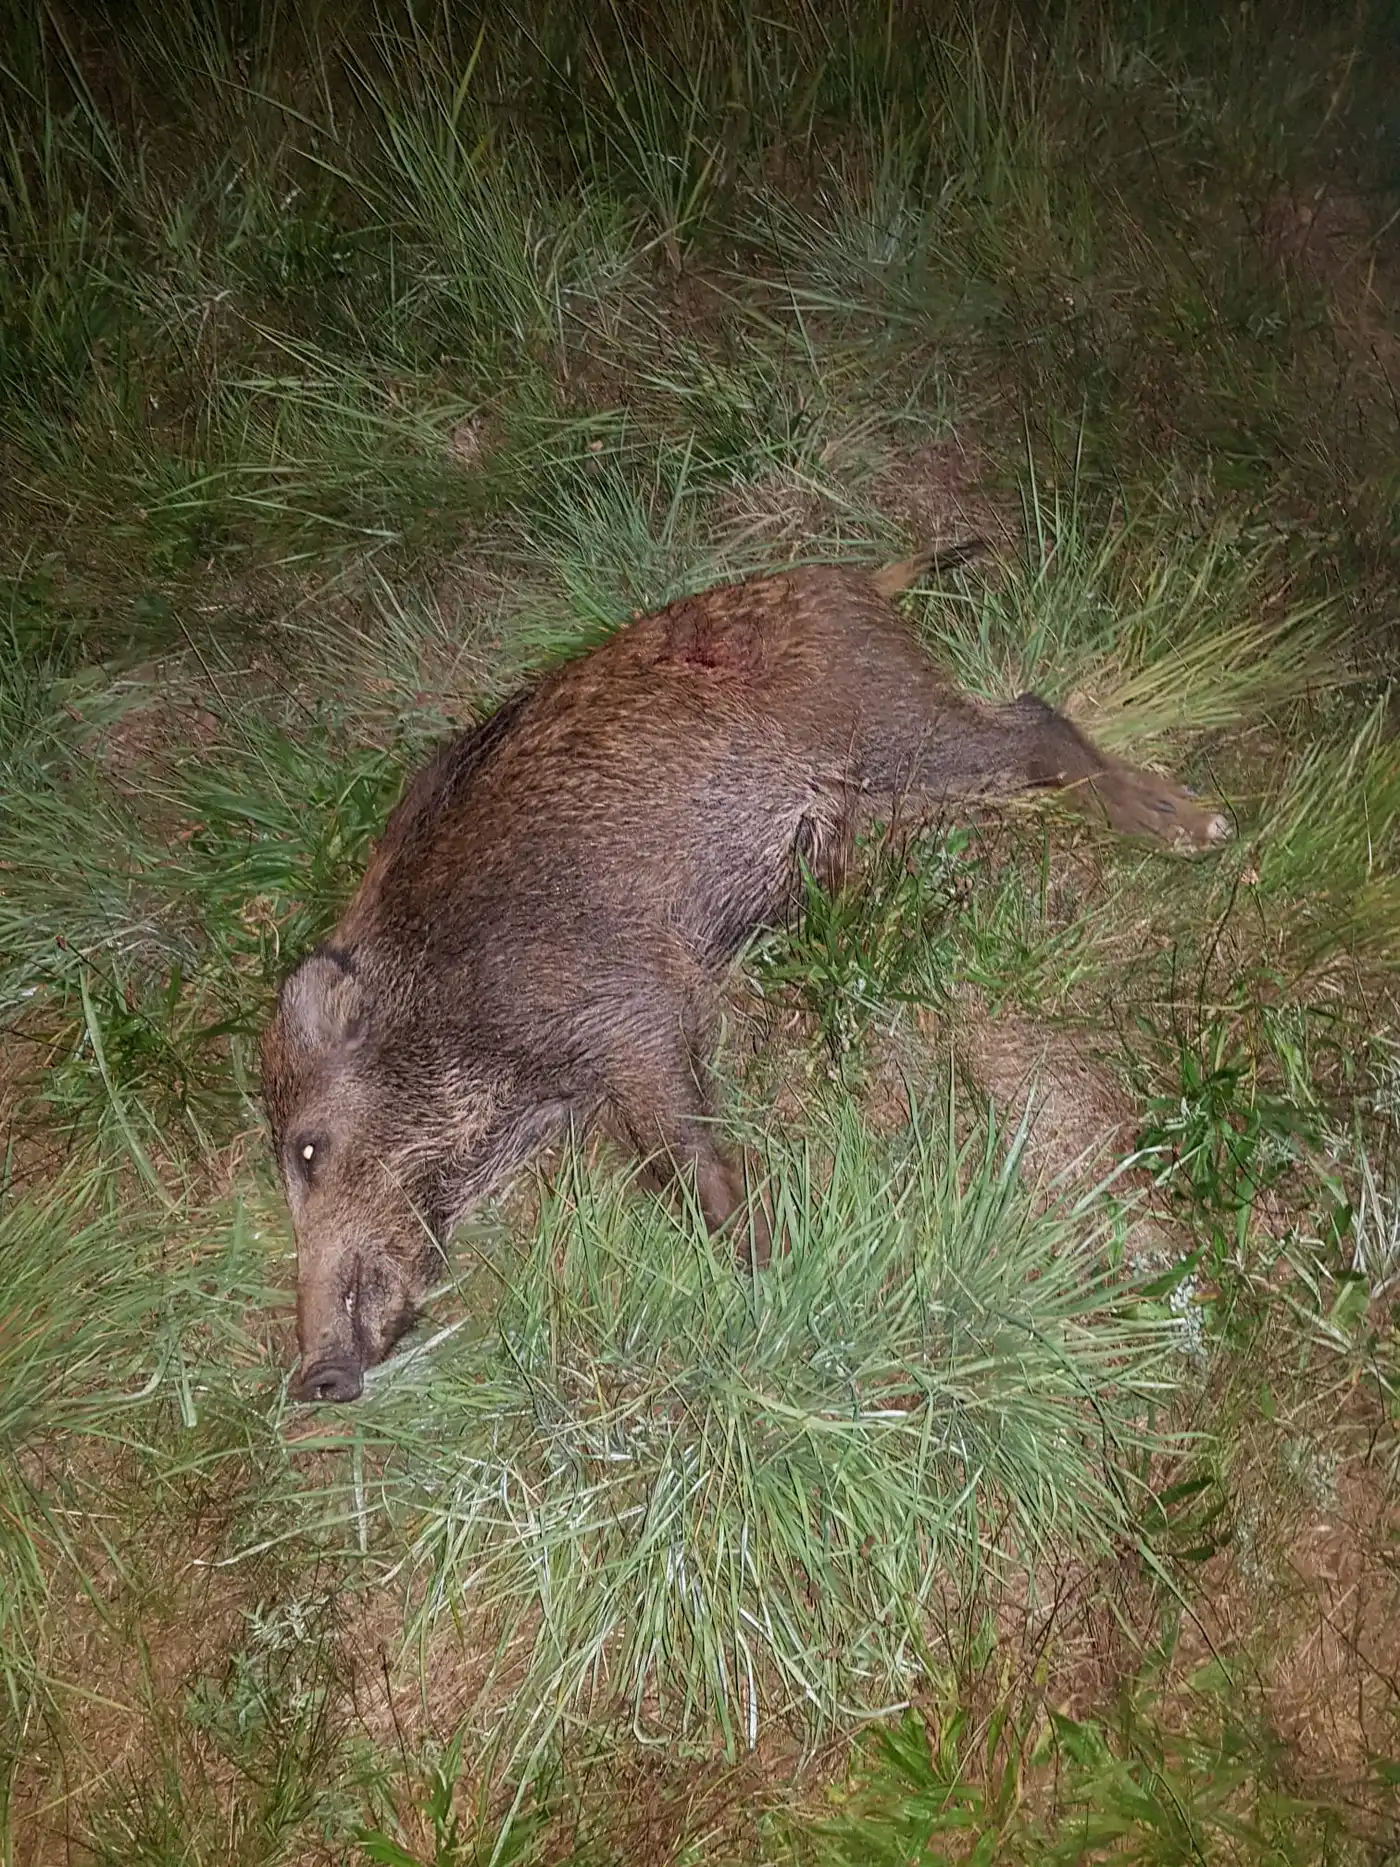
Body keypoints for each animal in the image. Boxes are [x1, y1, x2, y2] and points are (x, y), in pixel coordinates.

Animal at [261, 545, 1229, 1402]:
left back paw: (1199, 828)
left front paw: (772, 1267)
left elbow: (686, 1160)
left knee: (1034, 721)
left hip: (898, 727)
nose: (315, 1378)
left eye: (308, 1147)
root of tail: (850, 579)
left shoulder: (627, 1008)